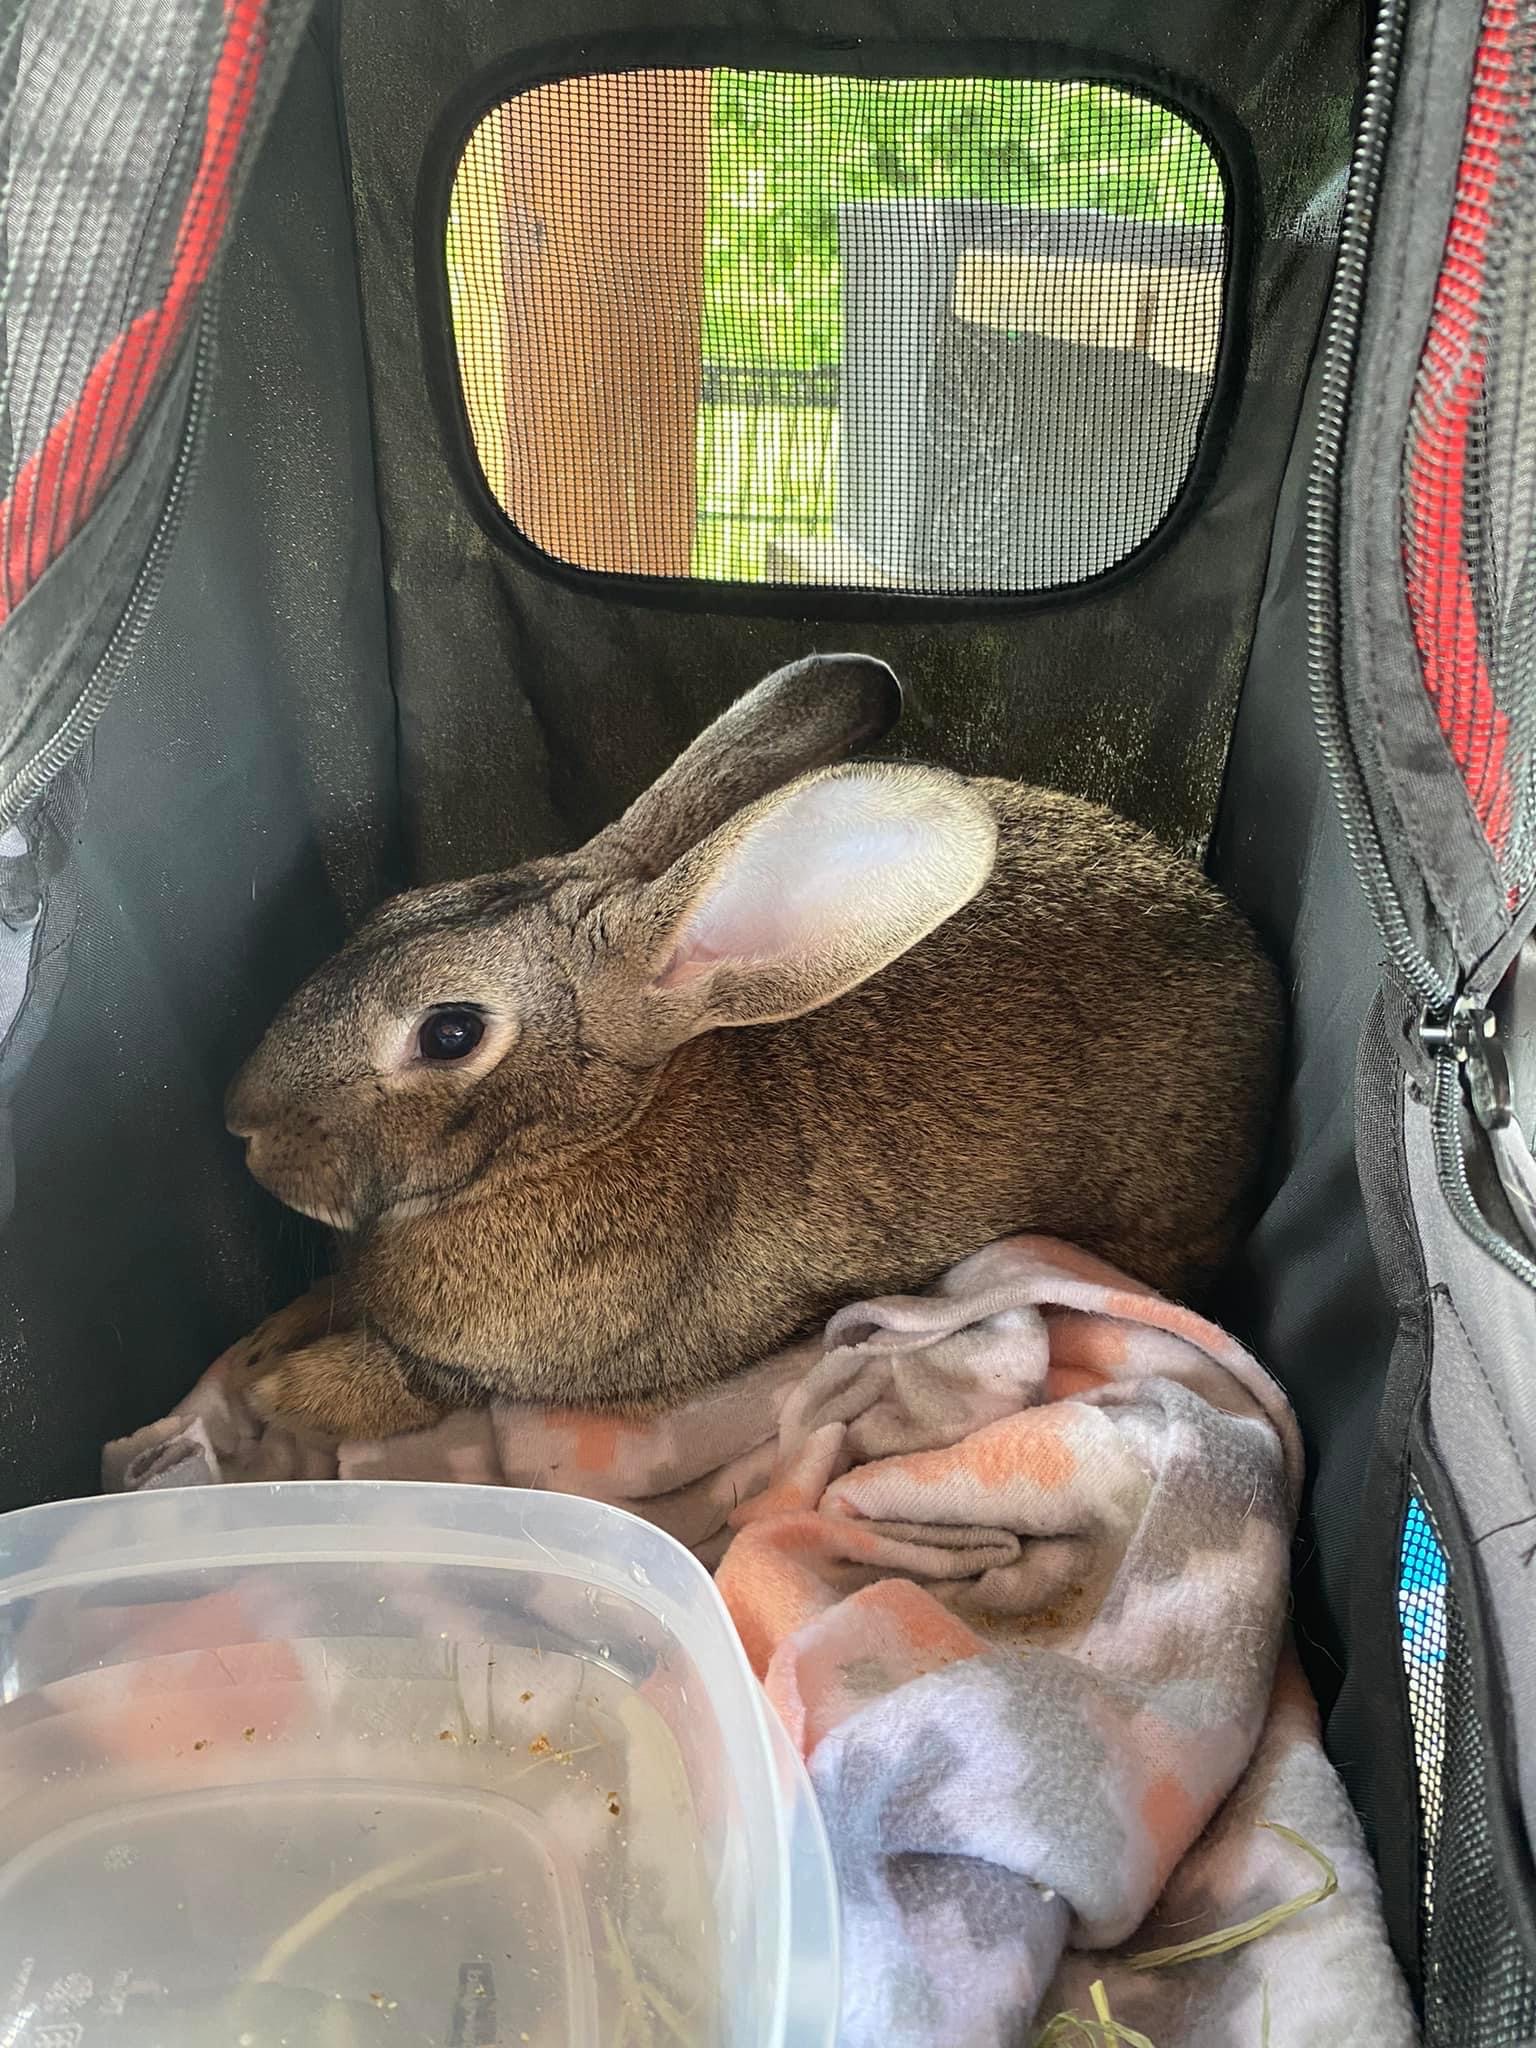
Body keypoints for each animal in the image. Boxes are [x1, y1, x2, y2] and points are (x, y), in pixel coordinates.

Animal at [220, 653, 1283, 1440]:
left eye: (450, 1032)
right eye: (390, 908)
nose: (242, 1127)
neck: (584, 1138)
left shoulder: (485, 1373)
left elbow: (386, 1384)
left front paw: (268, 1393)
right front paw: (260, 1347)